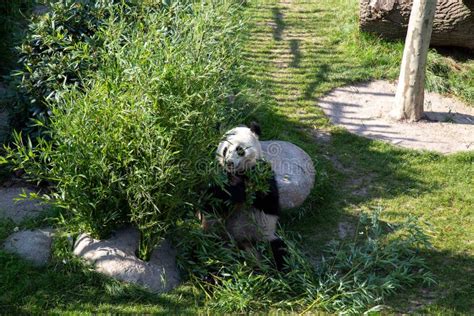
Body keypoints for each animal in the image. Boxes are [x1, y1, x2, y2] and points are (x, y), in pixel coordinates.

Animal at [201, 122, 288, 270]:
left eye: (239, 150)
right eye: (225, 150)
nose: (229, 163)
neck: (238, 174)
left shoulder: (263, 174)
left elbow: (269, 202)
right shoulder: (219, 176)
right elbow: (213, 201)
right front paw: (236, 192)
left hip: (264, 236)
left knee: (280, 251)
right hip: (214, 234)